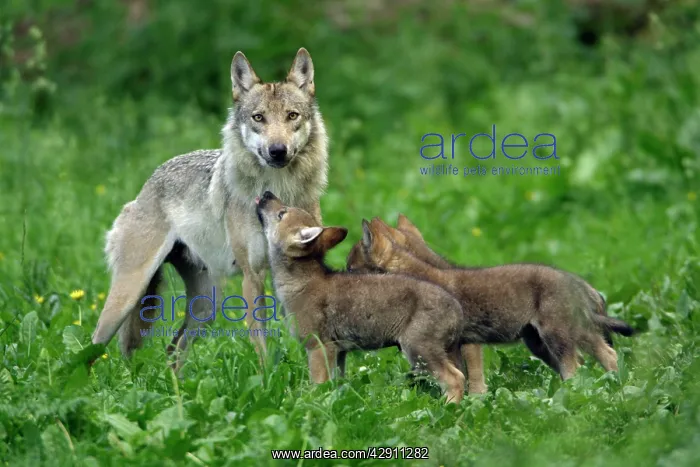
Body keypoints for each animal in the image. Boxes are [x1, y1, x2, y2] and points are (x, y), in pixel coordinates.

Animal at [91, 48, 328, 370]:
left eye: (292, 115)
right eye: (259, 117)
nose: (277, 151)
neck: (277, 189)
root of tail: (147, 185)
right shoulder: (252, 276)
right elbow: (261, 343)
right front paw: (268, 378)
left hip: (206, 309)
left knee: (172, 350)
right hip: (128, 297)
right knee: (97, 347)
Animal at [256, 191, 467, 403]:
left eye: (282, 214)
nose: (266, 193)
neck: (301, 284)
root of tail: (457, 309)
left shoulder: (319, 347)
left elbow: (318, 387)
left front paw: (313, 404)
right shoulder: (339, 351)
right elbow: (336, 386)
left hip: (418, 350)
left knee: (455, 379)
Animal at [348, 218, 635, 382]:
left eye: (350, 269)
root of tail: (579, 284)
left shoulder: (469, 345)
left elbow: (473, 383)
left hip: (558, 336)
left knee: (580, 364)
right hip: (553, 340)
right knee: (605, 355)